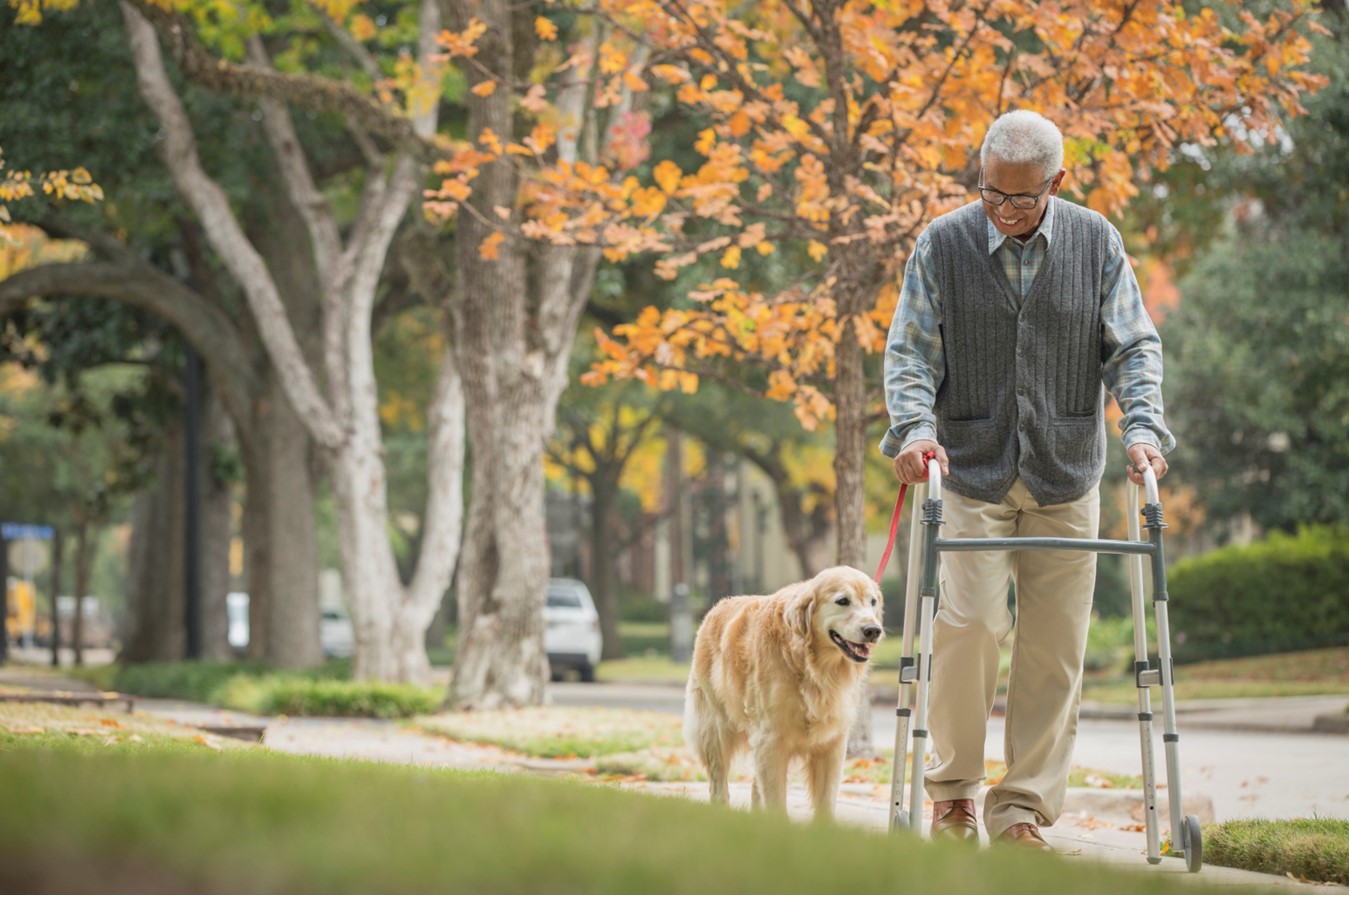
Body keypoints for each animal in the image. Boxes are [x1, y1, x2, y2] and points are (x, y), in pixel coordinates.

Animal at [685, 566, 884, 820]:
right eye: (842, 601)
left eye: (873, 602)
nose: (873, 630)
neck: (812, 668)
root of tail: (716, 607)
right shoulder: (771, 739)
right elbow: (775, 800)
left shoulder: (832, 744)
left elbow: (825, 800)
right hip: (716, 731)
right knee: (719, 784)